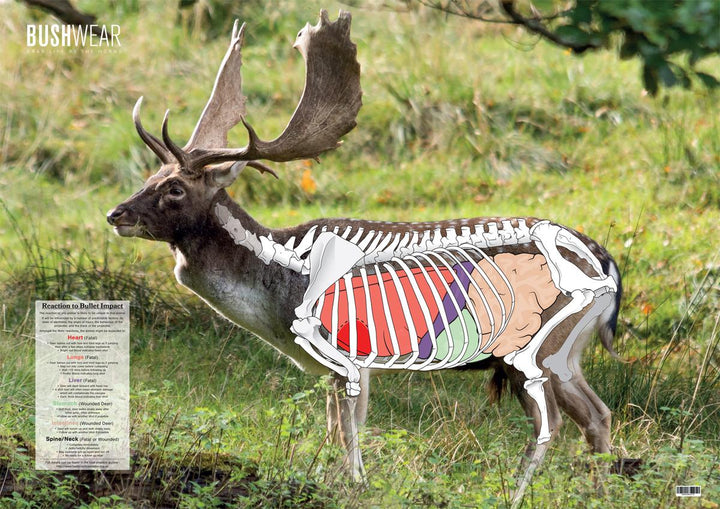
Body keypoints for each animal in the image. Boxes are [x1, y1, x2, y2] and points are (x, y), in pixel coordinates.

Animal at [106, 10, 622, 506]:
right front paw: (334, 479)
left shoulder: (353, 355)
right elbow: (336, 426)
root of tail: (607, 264)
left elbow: (349, 429)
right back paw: (597, 493)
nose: (116, 214)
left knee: (556, 420)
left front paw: (354, 483)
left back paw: (514, 495)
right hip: (568, 353)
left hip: (537, 348)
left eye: (176, 188)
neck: (277, 290)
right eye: (150, 176)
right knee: (597, 414)